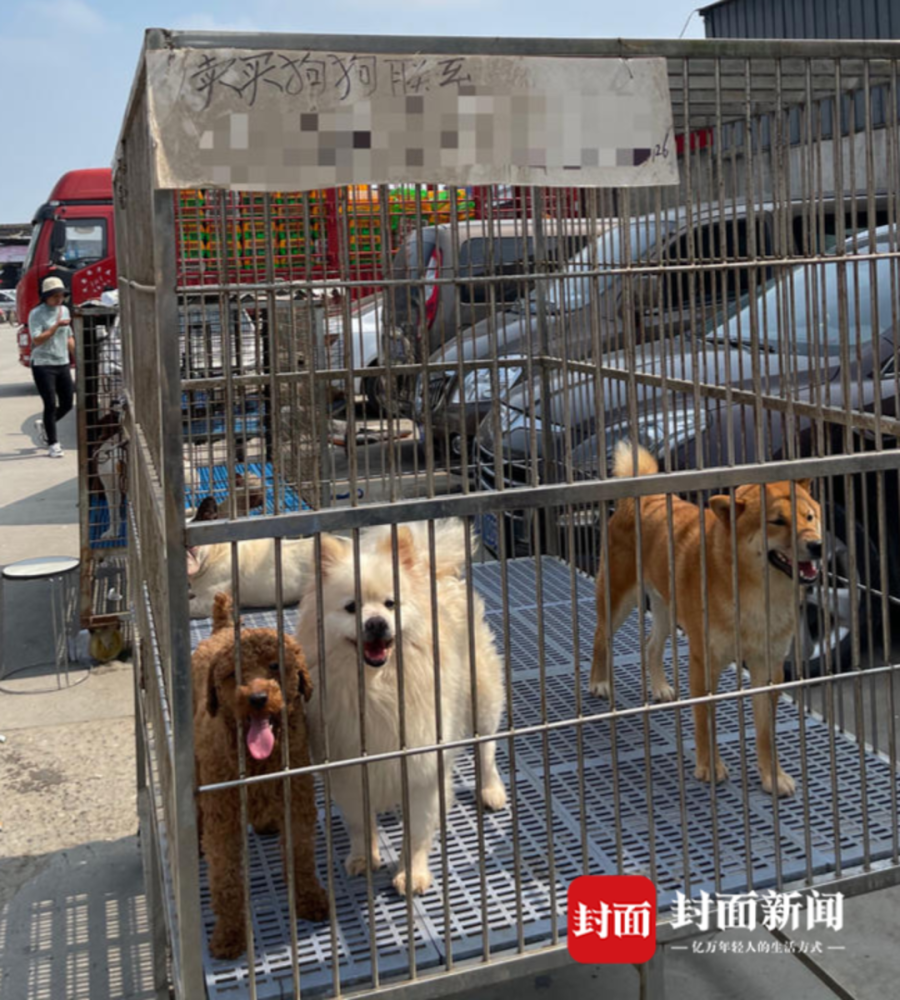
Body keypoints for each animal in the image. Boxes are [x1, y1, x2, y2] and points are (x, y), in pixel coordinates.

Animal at [194, 588, 330, 956]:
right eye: (233, 674)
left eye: (274, 666)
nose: (256, 697)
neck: (259, 765)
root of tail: (224, 628)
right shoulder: (223, 818)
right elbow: (226, 878)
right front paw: (229, 935)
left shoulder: (296, 800)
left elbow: (300, 855)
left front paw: (309, 899)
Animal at [298, 524, 502, 900]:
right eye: (351, 608)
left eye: (391, 604)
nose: (377, 623)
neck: (380, 687)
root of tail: (432, 567)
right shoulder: (350, 772)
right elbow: (360, 824)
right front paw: (364, 857)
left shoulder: (423, 770)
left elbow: (418, 831)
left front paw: (412, 872)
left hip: (483, 696)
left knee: (487, 748)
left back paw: (491, 790)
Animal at [592, 446, 824, 796]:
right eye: (777, 522)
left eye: (809, 517)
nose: (817, 545)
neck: (758, 594)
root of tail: (645, 497)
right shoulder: (705, 661)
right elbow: (705, 720)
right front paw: (709, 767)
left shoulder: (768, 664)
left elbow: (766, 732)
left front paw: (772, 776)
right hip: (619, 599)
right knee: (600, 636)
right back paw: (599, 681)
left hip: (666, 609)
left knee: (651, 646)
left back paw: (660, 687)